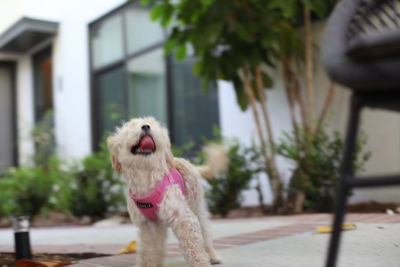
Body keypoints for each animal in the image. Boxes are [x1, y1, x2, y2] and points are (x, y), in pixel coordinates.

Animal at [108, 117, 227, 267]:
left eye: (152, 124)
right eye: (130, 127)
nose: (146, 126)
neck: (146, 177)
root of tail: (190, 164)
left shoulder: (184, 218)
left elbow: (194, 248)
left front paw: (201, 263)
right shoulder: (148, 226)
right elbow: (149, 251)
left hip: (197, 207)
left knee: (205, 234)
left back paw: (212, 256)